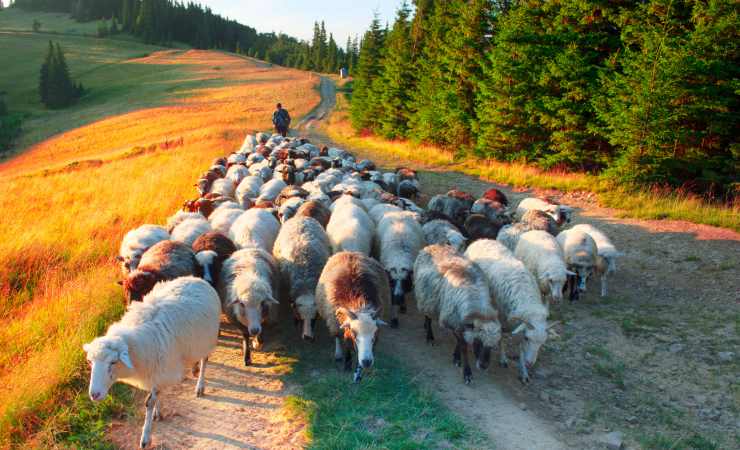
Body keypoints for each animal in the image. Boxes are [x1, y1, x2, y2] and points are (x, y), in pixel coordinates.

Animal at [84, 277, 220, 449]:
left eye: (113, 362)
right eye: (90, 362)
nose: (94, 394)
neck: (135, 345)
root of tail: (196, 279)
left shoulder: (161, 367)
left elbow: (149, 402)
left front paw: (145, 437)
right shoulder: (157, 369)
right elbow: (157, 394)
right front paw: (158, 412)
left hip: (206, 340)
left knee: (204, 360)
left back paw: (200, 386)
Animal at [316, 252, 390, 383]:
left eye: (374, 335)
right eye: (354, 334)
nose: (367, 362)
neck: (359, 303)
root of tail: (348, 252)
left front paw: (358, 373)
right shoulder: (340, 325)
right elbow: (347, 346)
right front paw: (347, 365)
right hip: (333, 321)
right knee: (336, 337)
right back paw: (338, 354)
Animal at [413, 245, 501, 384]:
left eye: (493, 346)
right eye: (477, 341)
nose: (483, 366)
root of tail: (432, 245)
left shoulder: (460, 324)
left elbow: (460, 343)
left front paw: (456, 357)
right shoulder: (452, 321)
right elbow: (463, 345)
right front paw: (467, 372)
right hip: (425, 297)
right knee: (428, 316)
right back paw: (429, 336)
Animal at [465, 239, 550, 383]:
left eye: (542, 343)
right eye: (527, 338)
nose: (530, 363)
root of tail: (482, 239)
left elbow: (520, 348)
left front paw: (524, 372)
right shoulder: (501, 318)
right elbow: (502, 338)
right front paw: (503, 359)